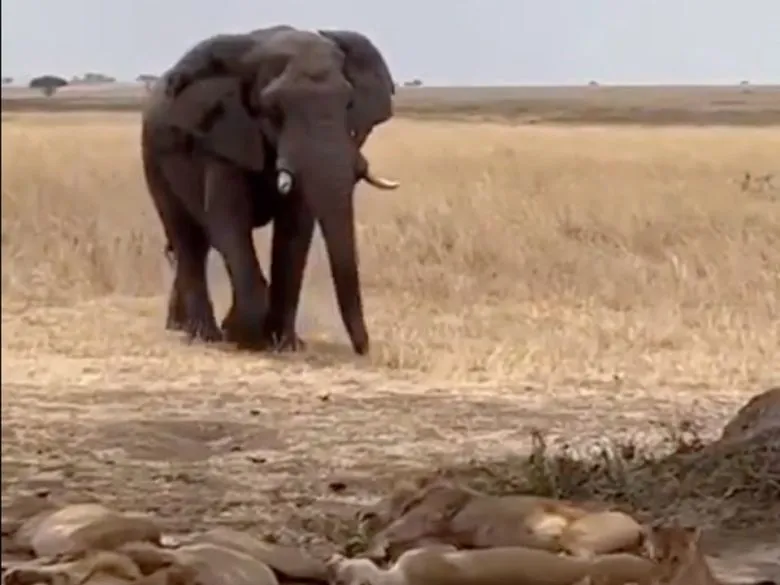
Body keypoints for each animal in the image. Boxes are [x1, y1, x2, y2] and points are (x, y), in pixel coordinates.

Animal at [141, 26, 399, 355]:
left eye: (349, 104)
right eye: (274, 110)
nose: (364, 349)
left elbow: (295, 231)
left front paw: (286, 344)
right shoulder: (224, 139)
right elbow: (229, 221)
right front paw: (242, 334)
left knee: (197, 242)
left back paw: (183, 327)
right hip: (153, 158)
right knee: (186, 237)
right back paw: (203, 335)